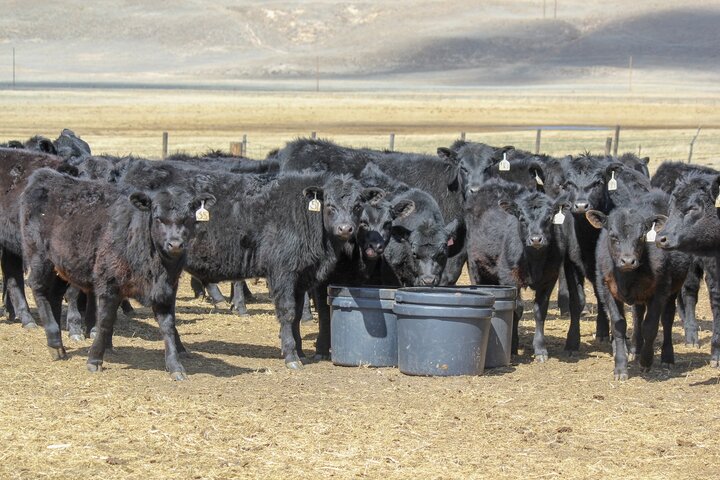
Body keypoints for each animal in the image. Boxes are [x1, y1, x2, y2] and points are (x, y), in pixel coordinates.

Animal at [18, 167, 212, 380]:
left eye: (189, 218)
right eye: (158, 217)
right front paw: (94, 359)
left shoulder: (167, 289)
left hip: (62, 265)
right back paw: (54, 341)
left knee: (54, 296)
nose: (175, 244)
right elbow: (105, 322)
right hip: (39, 257)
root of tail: (46, 175)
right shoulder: (109, 283)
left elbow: (168, 325)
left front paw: (175, 366)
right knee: (38, 289)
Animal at [592, 190, 692, 378]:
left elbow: (650, 326)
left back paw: (667, 357)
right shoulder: (607, 289)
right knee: (637, 316)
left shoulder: (660, 291)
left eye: (641, 236)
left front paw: (646, 361)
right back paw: (635, 349)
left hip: (673, 289)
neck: (627, 278)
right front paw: (621, 367)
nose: (628, 261)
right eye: (613, 236)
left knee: (666, 319)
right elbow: (618, 325)